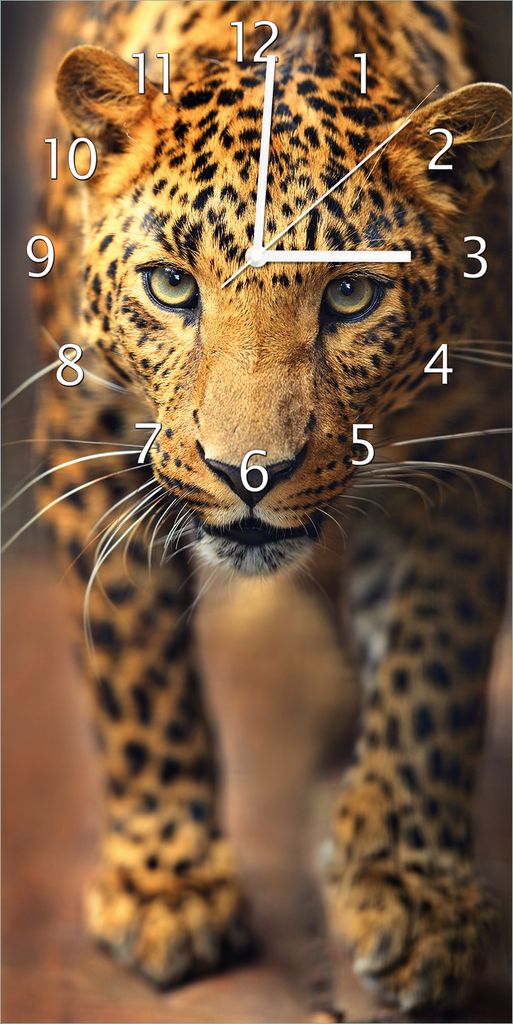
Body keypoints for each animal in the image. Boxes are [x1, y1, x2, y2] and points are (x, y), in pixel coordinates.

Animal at [30, 0, 511, 1015]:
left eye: (351, 293)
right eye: (172, 285)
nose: (248, 473)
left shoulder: (468, 451)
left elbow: (431, 671)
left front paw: (410, 886)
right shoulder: (84, 435)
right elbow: (136, 669)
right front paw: (166, 884)